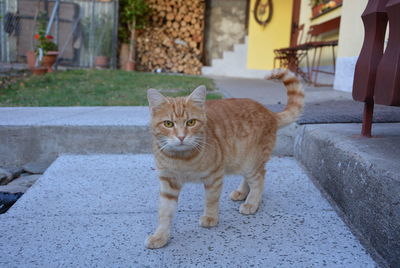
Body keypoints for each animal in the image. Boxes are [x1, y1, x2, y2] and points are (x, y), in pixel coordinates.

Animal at [145, 69, 304, 249]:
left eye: (191, 122)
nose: (181, 137)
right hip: (241, 161)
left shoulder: (214, 176)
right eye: (168, 124)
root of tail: (269, 112)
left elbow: (211, 200)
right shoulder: (168, 182)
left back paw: (251, 202)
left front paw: (211, 217)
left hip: (250, 162)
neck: (182, 158)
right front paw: (161, 236)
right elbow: (165, 212)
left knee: (259, 178)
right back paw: (242, 192)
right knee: (251, 178)